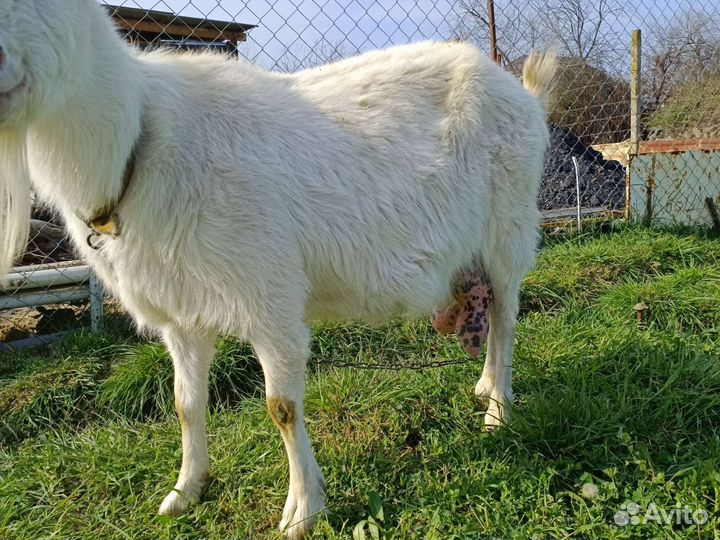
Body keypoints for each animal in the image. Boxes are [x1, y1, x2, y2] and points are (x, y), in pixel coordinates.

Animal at [0, 1, 556, 537]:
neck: (140, 141)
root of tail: (521, 91)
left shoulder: (270, 299)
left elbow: (281, 407)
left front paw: (303, 511)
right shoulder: (180, 312)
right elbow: (184, 404)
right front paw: (185, 491)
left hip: (508, 225)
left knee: (507, 318)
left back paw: (498, 411)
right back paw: (485, 386)